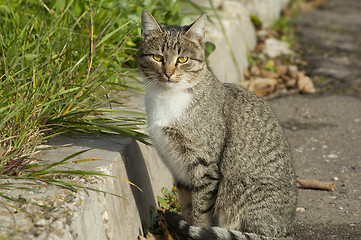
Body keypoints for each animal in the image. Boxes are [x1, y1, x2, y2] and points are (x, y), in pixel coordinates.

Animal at [137, 9, 296, 240]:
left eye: (182, 59)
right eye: (157, 57)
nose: (168, 73)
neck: (167, 98)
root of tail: (286, 231)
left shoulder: (204, 165)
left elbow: (201, 210)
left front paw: (196, 230)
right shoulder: (177, 167)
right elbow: (187, 205)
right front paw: (185, 230)